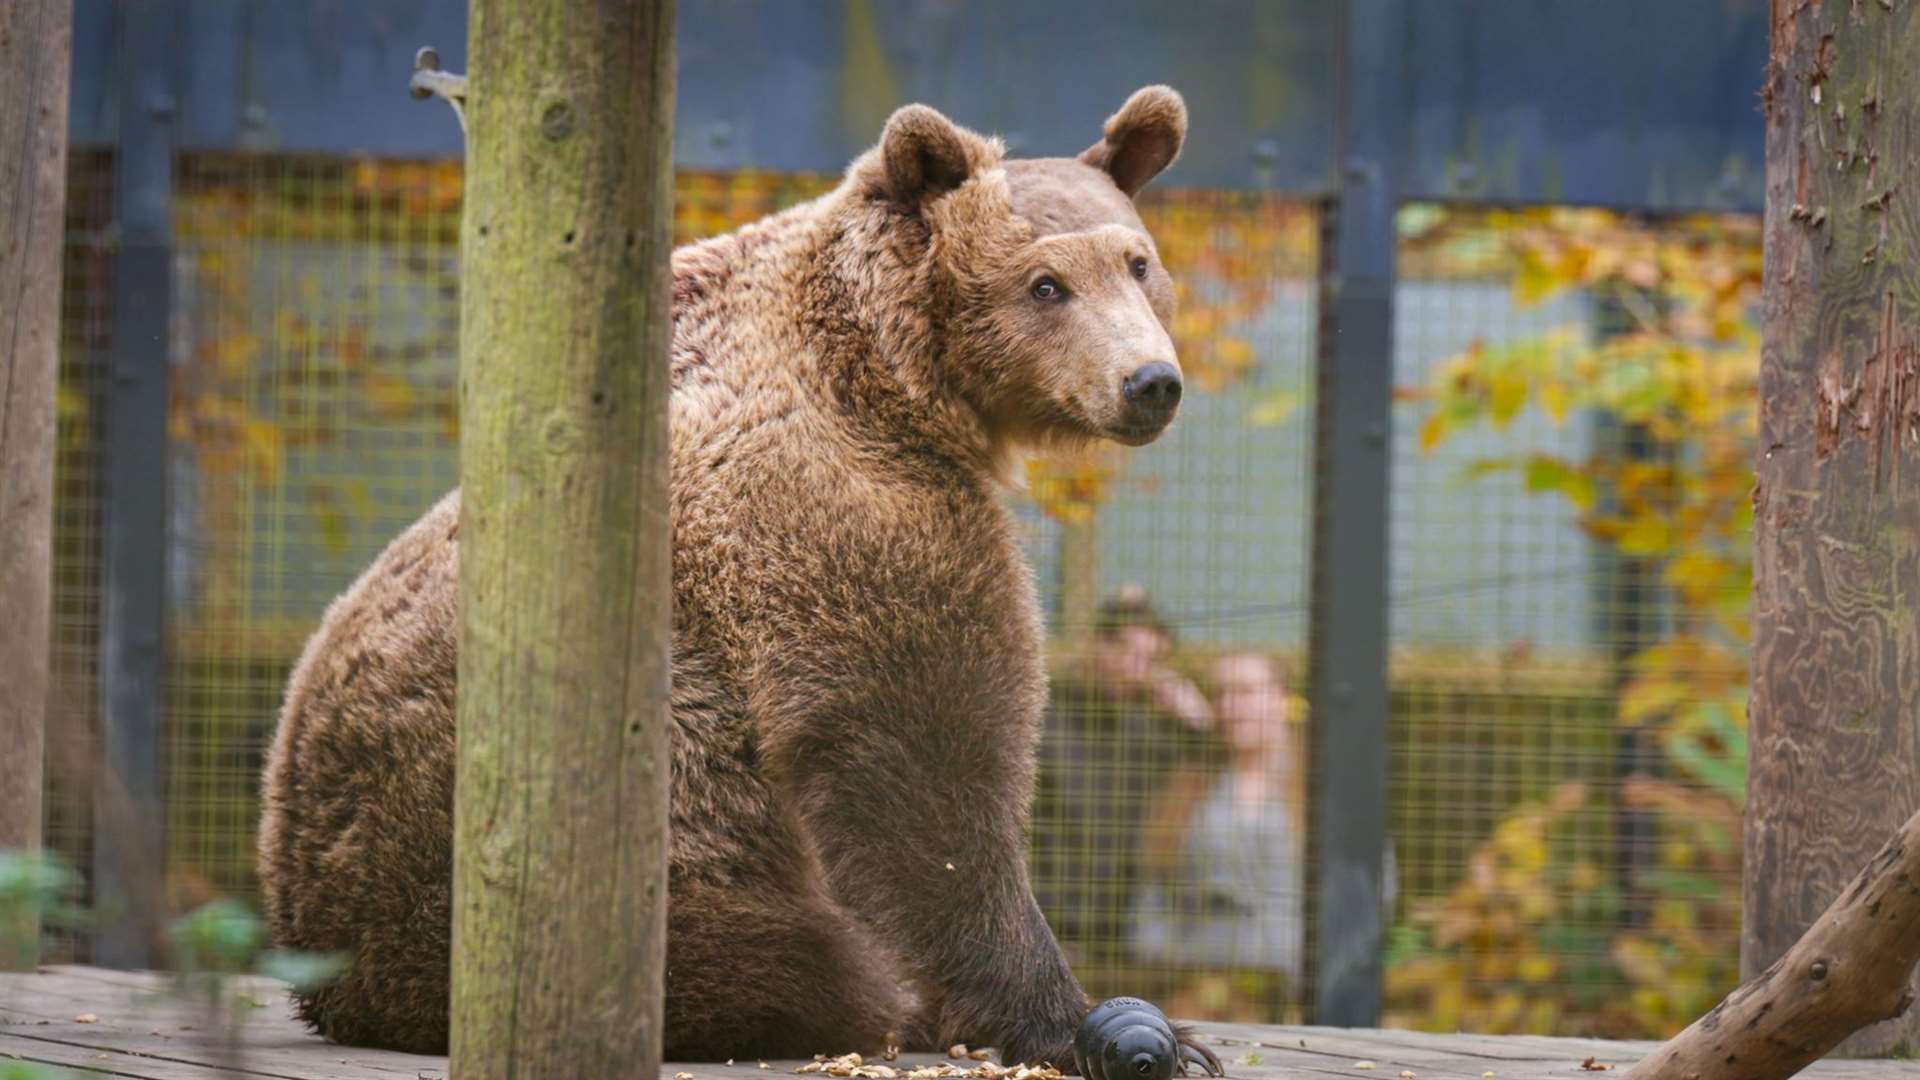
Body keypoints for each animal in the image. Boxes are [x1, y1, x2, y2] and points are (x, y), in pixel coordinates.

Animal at [259, 85, 1213, 1068]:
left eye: (1137, 263)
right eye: (1045, 284)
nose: (1150, 381)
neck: (894, 379)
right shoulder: (839, 515)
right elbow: (924, 760)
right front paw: (1098, 1023)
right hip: (530, 856)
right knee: (794, 960)